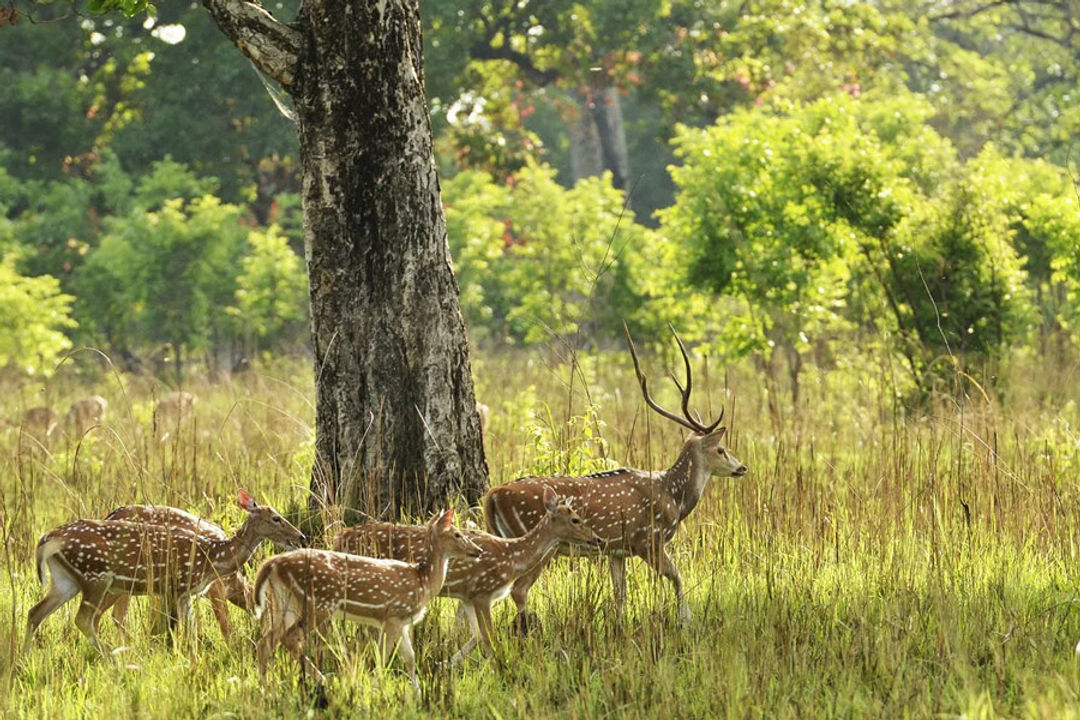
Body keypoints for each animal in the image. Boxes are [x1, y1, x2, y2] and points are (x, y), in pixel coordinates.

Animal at [252, 509, 481, 695]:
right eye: (457, 534)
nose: (478, 551)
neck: (423, 581)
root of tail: (272, 564)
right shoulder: (393, 616)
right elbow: (382, 657)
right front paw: (376, 690)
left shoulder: (403, 622)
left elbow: (410, 658)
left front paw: (418, 695)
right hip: (319, 603)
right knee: (289, 638)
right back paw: (318, 682)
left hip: (286, 601)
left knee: (267, 641)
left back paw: (267, 687)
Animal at [334, 487, 604, 660]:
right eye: (576, 519)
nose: (598, 538)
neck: (512, 556)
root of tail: (338, 537)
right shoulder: (482, 592)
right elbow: (488, 637)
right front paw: (501, 668)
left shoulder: (465, 595)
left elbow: (475, 636)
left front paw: (447, 663)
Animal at [486, 325, 747, 626]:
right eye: (721, 449)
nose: (742, 468)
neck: (673, 498)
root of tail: (493, 494)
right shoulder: (648, 539)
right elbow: (678, 577)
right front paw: (685, 620)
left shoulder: (617, 550)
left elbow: (620, 595)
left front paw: (620, 626)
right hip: (537, 541)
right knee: (519, 589)